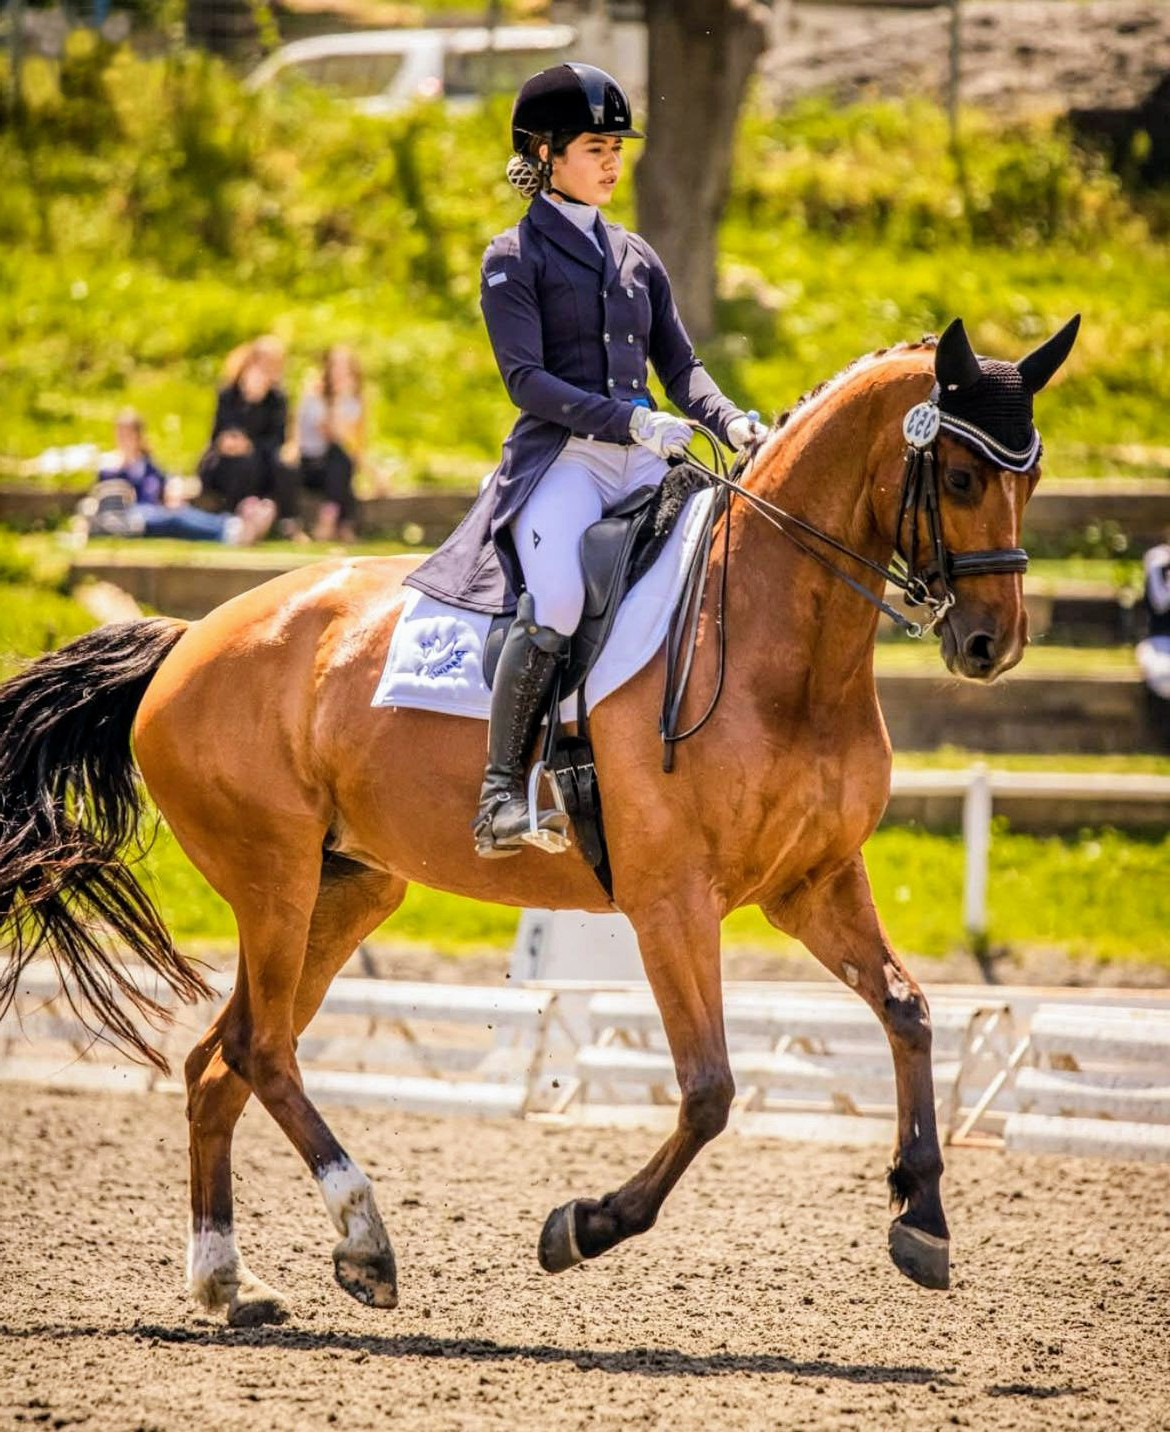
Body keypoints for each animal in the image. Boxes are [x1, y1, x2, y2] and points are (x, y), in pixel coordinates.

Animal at [0, 316, 1078, 1328]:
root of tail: (189, 639)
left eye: (1030, 476)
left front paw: (922, 1217)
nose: (993, 645)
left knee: (218, 1062)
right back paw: (366, 1239)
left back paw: (229, 1280)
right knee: (262, 1050)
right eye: (963, 473)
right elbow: (709, 1091)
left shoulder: (813, 884)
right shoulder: (670, 901)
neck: (781, 640)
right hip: (273, 878)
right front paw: (584, 1225)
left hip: (343, 892)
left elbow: (909, 1011)